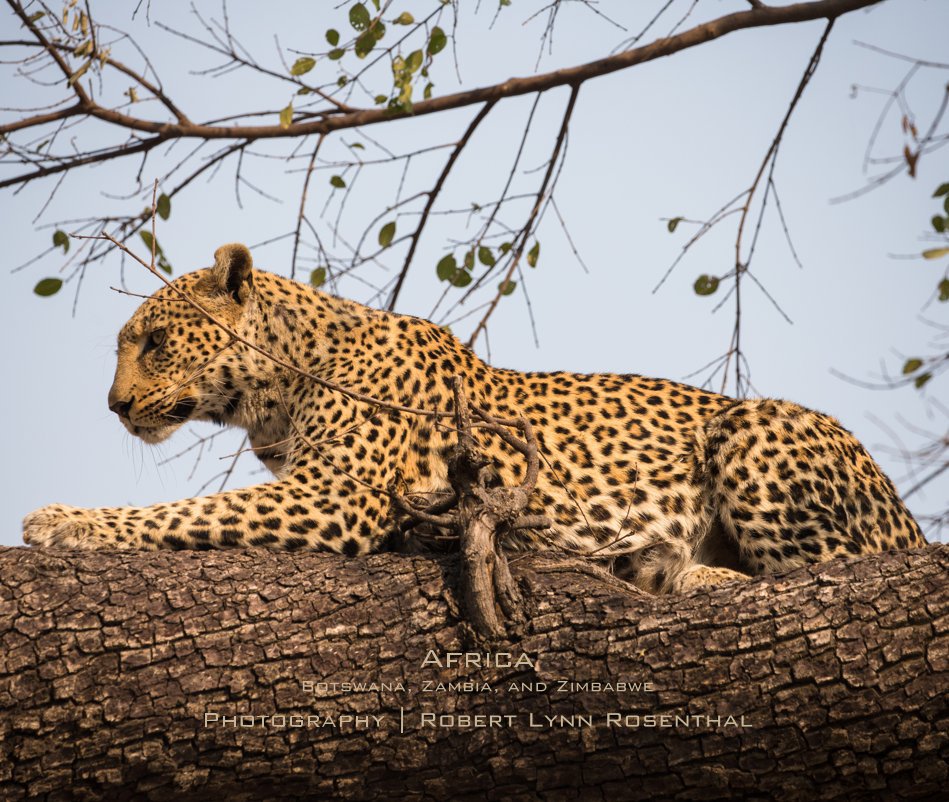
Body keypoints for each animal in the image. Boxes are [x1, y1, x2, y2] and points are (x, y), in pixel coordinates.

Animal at [22, 244, 924, 592]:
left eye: (155, 342)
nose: (113, 404)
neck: (275, 391)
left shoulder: (340, 497)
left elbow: (182, 513)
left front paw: (63, 520)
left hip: (753, 426)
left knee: (832, 570)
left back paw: (685, 569)